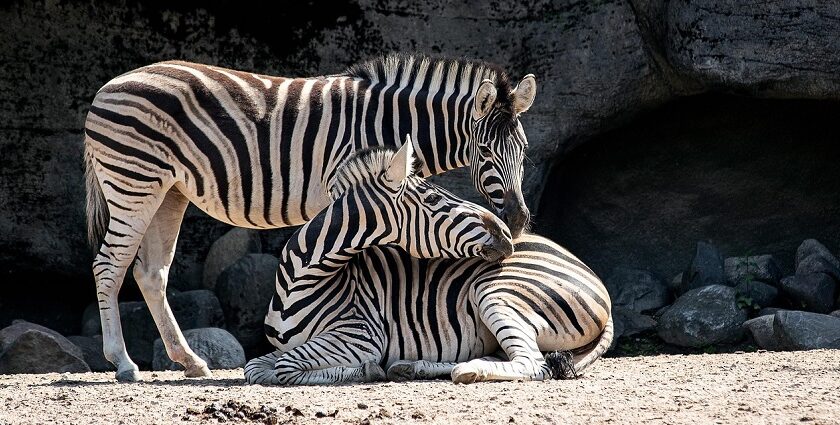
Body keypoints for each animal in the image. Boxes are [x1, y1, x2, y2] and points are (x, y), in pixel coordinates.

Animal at [82, 51, 536, 380]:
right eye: (484, 151)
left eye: (525, 149)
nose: (516, 221)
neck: (391, 122)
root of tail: (107, 88)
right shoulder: (346, 187)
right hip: (134, 181)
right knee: (109, 266)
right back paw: (123, 362)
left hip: (169, 190)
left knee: (150, 272)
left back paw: (190, 361)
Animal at [243, 140, 612, 384]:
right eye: (434, 198)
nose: (508, 233)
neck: (301, 279)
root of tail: (594, 277)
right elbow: (256, 368)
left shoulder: (360, 335)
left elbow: (284, 369)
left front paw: (365, 369)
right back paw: (413, 366)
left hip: (496, 292)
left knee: (533, 364)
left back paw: (465, 370)